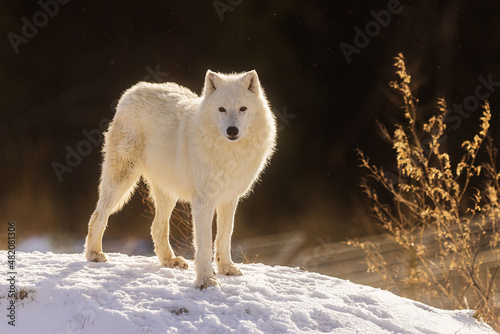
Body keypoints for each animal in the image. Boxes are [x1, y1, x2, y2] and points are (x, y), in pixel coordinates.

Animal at [83, 70, 276, 290]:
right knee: (98, 215)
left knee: (156, 226)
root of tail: (134, 89)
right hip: (122, 180)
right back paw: (93, 254)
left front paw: (226, 268)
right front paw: (206, 280)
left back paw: (170, 260)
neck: (229, 154)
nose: (232, 130)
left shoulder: (229, 199)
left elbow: (224, 237)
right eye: (221, 109)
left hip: (168, 193)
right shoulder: (203, 202)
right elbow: (204, 245)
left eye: (243, 108)